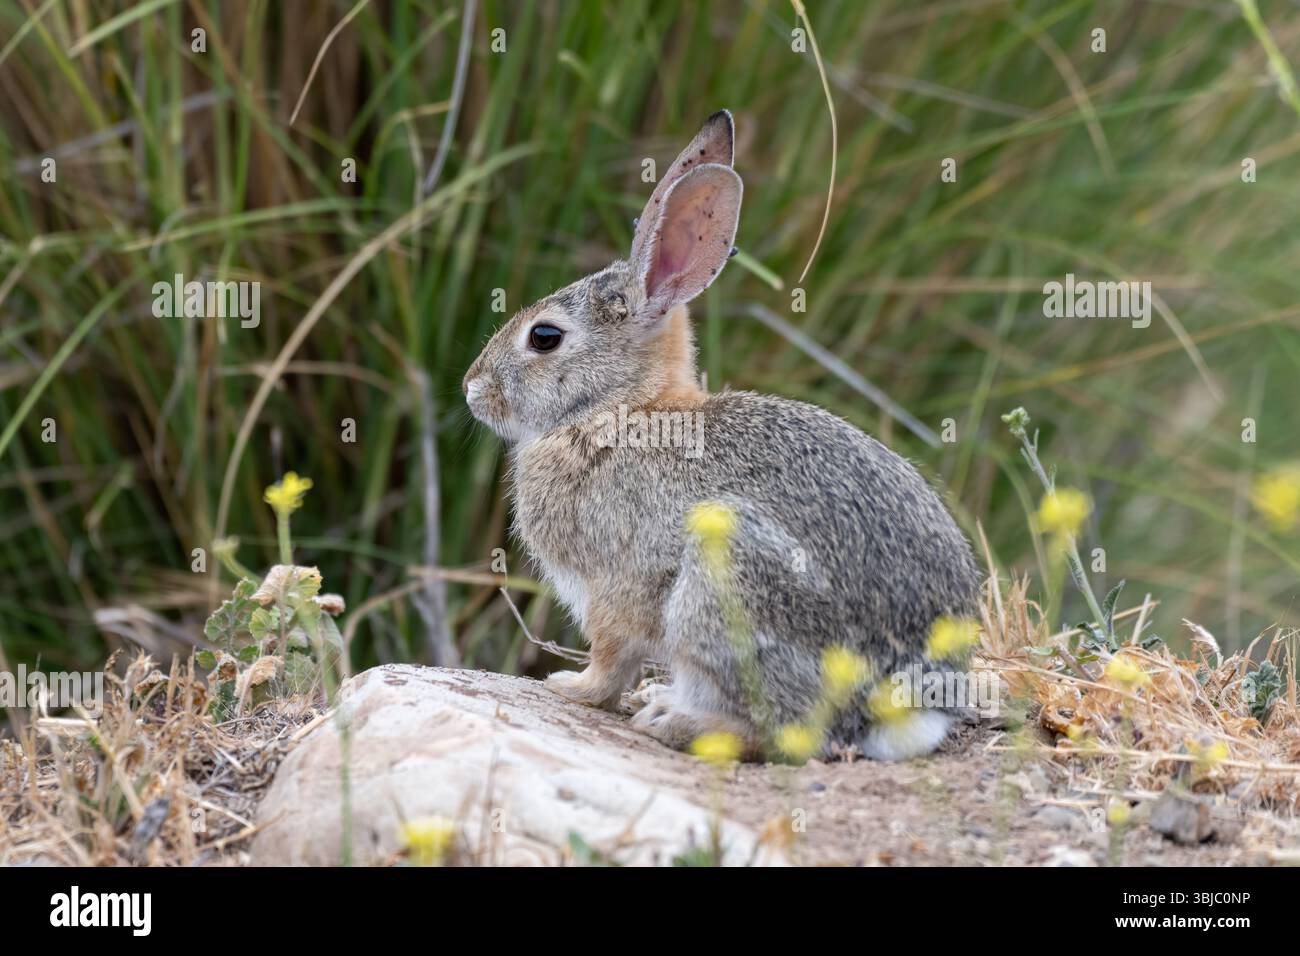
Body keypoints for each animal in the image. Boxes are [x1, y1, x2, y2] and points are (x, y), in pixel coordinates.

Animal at [463, 110, 981, 761]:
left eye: (545, 337)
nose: (471, 388)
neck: (622, 408)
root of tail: (905, 707)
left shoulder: (615, 586)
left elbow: (611, 658)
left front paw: (570, 688)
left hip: (725, 587)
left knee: (785, 730)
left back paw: (673, 722)